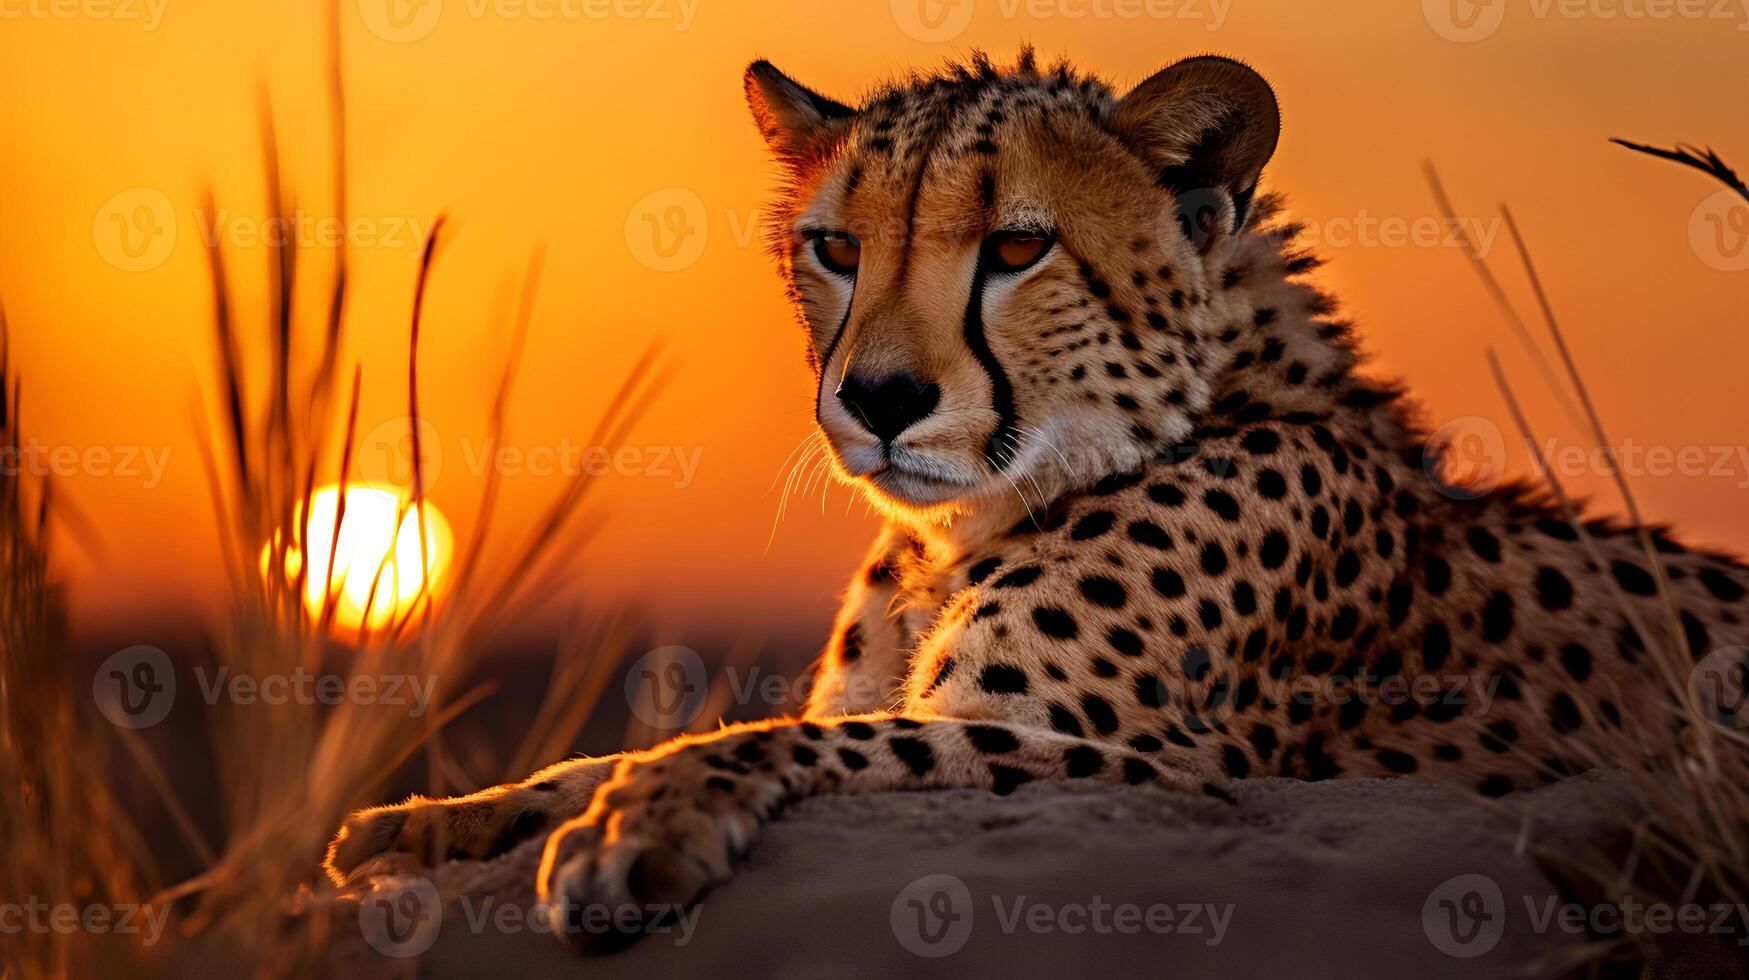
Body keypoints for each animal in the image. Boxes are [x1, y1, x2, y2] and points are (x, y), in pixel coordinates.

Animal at [328, 51, 1749, 952]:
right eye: (835, 248)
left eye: (1018, 246)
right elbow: (624, 751)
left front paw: (638, 828)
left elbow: (784, 742)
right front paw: (431, 818)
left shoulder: (1156, 765)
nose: (879, 398)